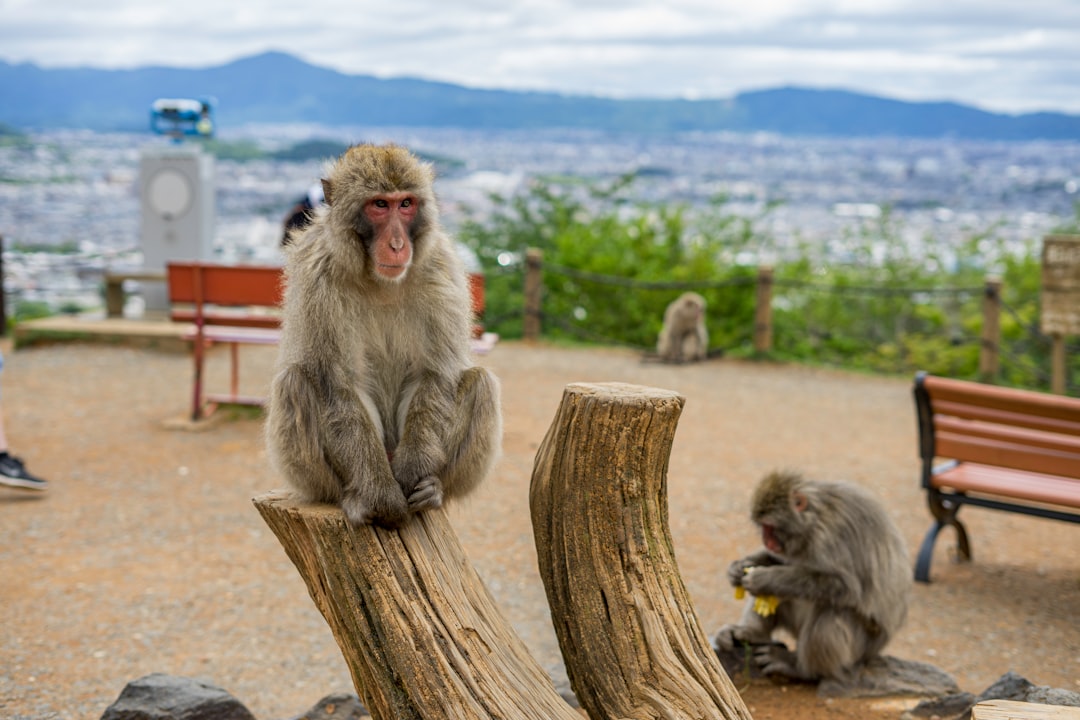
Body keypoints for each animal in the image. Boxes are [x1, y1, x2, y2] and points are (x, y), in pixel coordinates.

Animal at [265, 144, 501, 528]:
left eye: (405, 203)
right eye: (379, 204)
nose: (396, 244)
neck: (379, 281)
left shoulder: (441, 268)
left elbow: (435, 374)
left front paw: (412, 475)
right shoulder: (318, 276)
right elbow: (339, 385)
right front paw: (381, 496)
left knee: (481, 383)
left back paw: (434, 490)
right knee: (295, 382)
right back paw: (351, 497)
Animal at [717, 470, 911, 686]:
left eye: (769, 527)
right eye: (763, 527)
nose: (765, 540)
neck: (814, 520)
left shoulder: (831, 537)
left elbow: (845, 587)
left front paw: (765, 579)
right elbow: (780, 561)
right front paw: (738, 568)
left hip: (861, 648)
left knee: (831, 610)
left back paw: (801, 669)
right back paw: (752, 634)